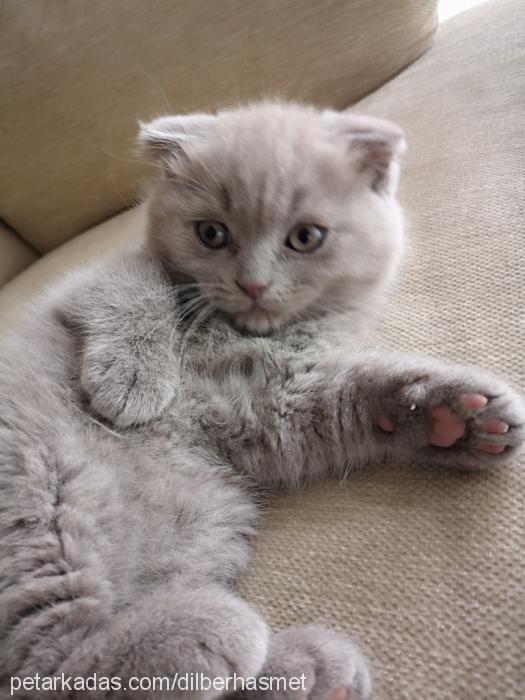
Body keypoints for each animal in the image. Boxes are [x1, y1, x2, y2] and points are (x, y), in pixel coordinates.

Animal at [1, 102, 524, 700]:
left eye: (306, 237)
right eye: (211, 233)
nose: (252, 284)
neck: (247, 334)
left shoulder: (274, 400)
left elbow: (355, 394)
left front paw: (454, 418)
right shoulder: (90, 279)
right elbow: (137, 287)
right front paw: (131, 383)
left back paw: (310, 668)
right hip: (34, 498)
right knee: (44, 661)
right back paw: (219, 632)